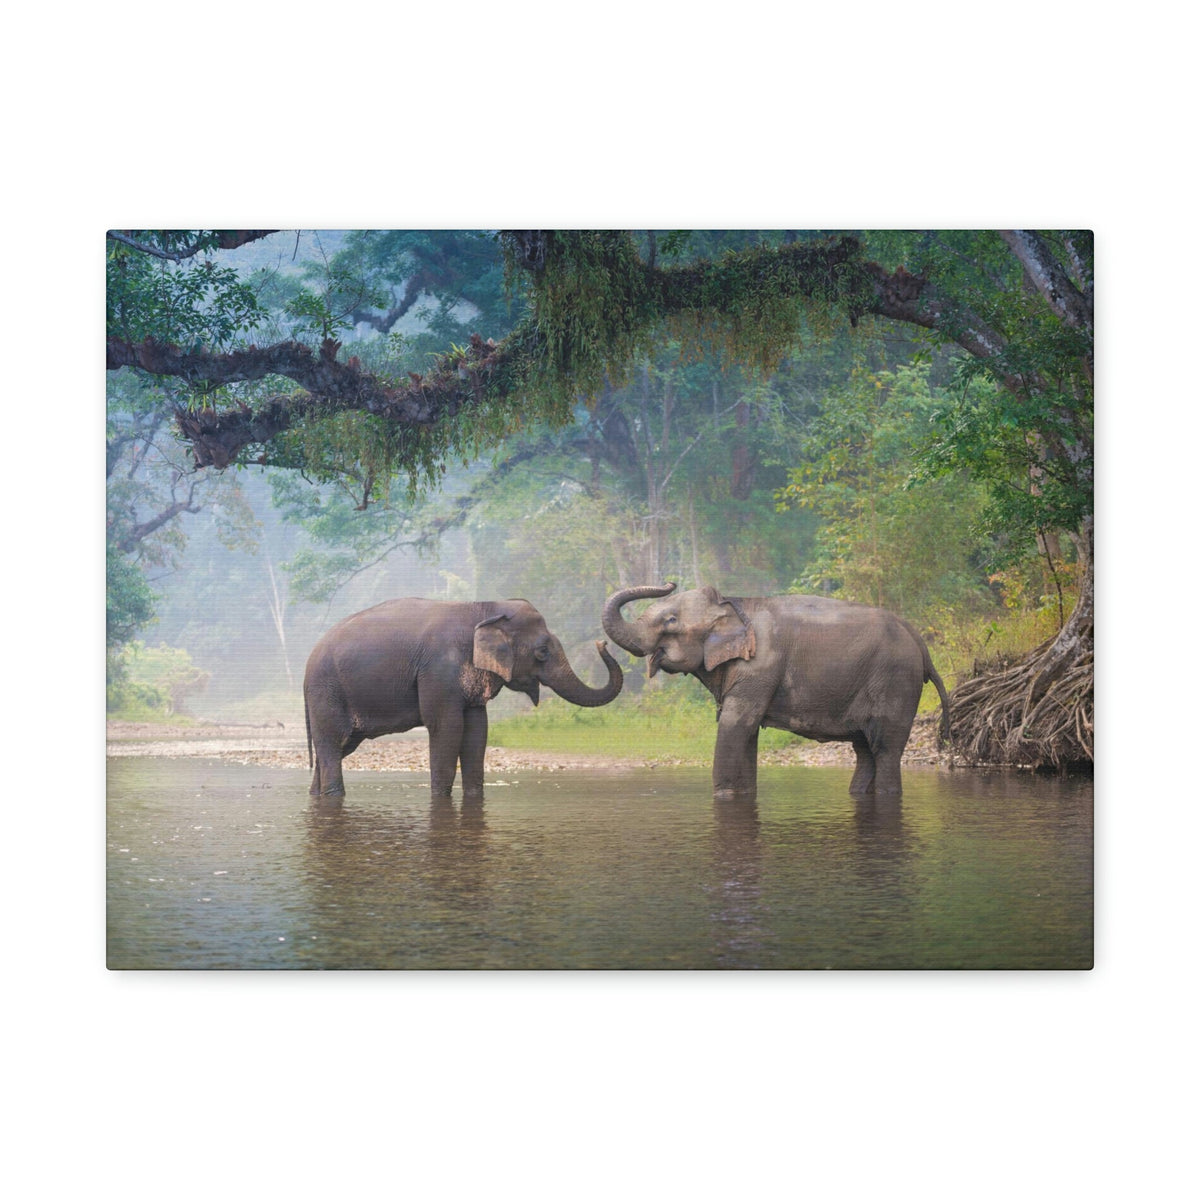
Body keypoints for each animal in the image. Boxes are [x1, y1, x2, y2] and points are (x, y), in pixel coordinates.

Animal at [304, 598, 623, 800]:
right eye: (542, 652)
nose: (602, 642)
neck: (482, 607)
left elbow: (477, 732)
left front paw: (474, 797)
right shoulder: (438, 671)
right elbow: (447, 728)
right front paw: (440, 799)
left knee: (337, 748)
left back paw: (316, 795)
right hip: (326, 692)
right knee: (332, 744)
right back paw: (333, 796)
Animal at [602, 582, 950, 800]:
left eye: (671, 621)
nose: (669, 581)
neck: (734, 603)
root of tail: (920, 644)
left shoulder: (759, 666)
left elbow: (735, 725)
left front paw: (723, 796)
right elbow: (747, 733)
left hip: (895, 681)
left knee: (885, 749)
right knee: (864, 750)